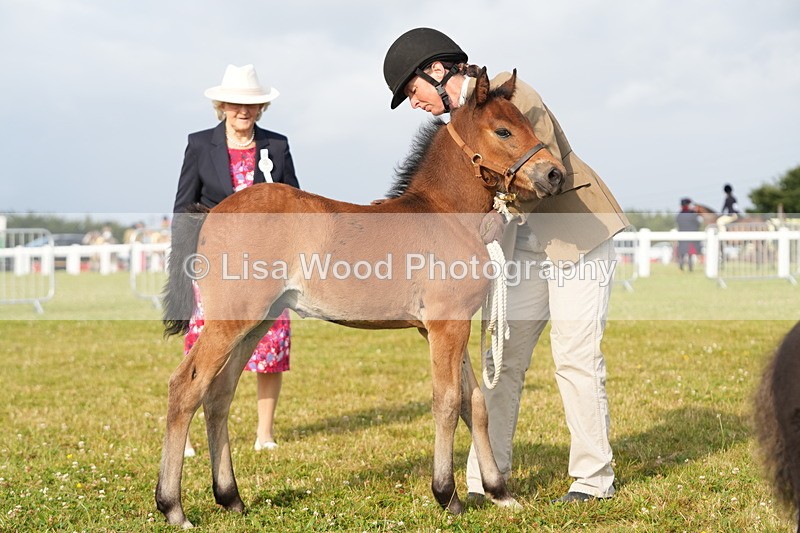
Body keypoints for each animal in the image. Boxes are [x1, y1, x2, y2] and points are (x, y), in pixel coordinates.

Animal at [155, 68, 566, 528]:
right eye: (503, 130)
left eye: (528, 123)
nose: (554, 174)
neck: (446, 215)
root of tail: (212, 212)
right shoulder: (446, 324)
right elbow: (446, 402)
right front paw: (448, 495)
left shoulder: (446, 326)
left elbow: (473, 402)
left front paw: (499, 492)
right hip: (231, 319)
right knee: (185, 387)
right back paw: (173, 507)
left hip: (255, 323)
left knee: (218, 395)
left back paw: (230, 497)